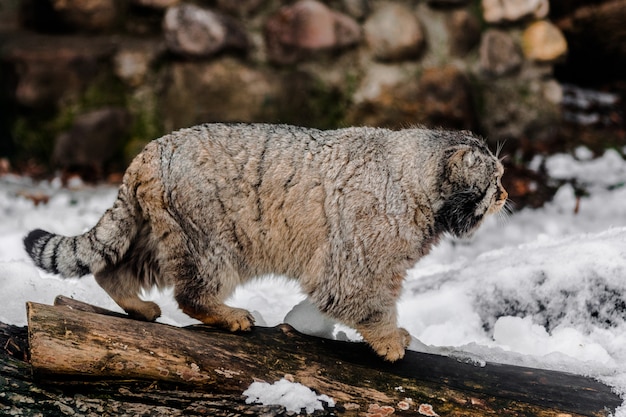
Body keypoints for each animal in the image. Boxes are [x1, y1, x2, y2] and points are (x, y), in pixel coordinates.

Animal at [23, 122, 508, 360]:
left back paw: (137, 305)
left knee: (114, 268)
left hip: (159, 235)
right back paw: (228, 314)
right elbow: (367, 303)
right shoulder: (360, 263)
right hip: (210, 240)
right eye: (496, 177)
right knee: (190, 294)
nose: (506, 195)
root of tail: (150, 149)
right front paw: (389, 340)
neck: (415, 188)